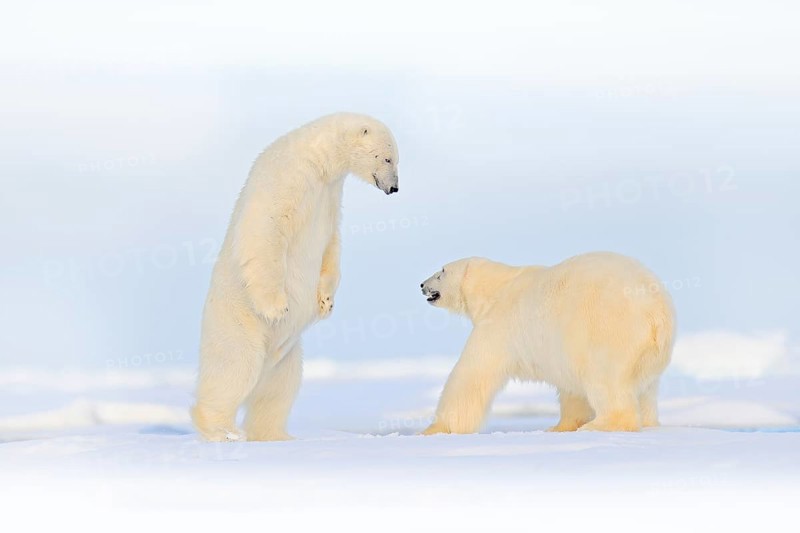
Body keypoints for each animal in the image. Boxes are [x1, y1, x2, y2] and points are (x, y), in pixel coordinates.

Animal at [192, 113, 399, 441]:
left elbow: (331, 243)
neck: (318, 159)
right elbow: (266, 229)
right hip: (237, 325)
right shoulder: (287, 175)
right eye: (388, 157)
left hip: (287, 356)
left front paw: (326, 302)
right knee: (234, 370)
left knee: (278, 390)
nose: (395, 188)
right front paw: (278, 307)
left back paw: (277, 435)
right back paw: (223, 431)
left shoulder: (330, 194)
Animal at [419, 252, 675, 434]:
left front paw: (433, 430)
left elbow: (471, 374)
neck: (495, 289)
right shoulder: (564, 346)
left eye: (442, 271)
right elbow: (572, 389)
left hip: (608, 332)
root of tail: (656, 311)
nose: (422, 285)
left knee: (606, 380)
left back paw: (599, 425)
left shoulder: (498, 325)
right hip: (649, 354)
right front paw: (561, 426)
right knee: (645, 389)